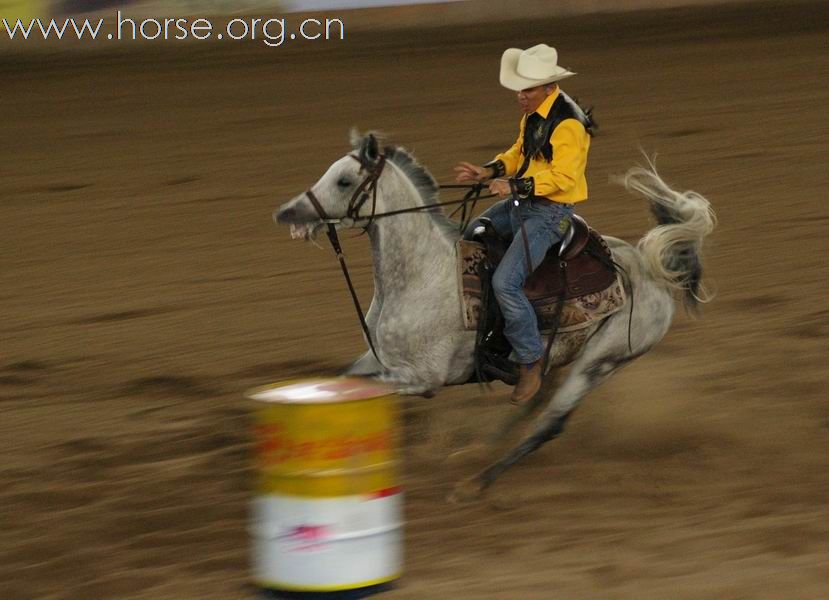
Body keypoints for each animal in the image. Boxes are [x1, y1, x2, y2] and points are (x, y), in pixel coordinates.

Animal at [274, 130, 712, 496]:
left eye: (345, 181)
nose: (285, 213)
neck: (423, 275)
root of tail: (649, 268)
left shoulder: (420, 378)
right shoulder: (377, 359)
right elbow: (340, 382)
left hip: (602, 360)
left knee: (550, 422)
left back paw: (475, 482)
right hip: (559, 354)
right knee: (533, 398)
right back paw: (477, 452)